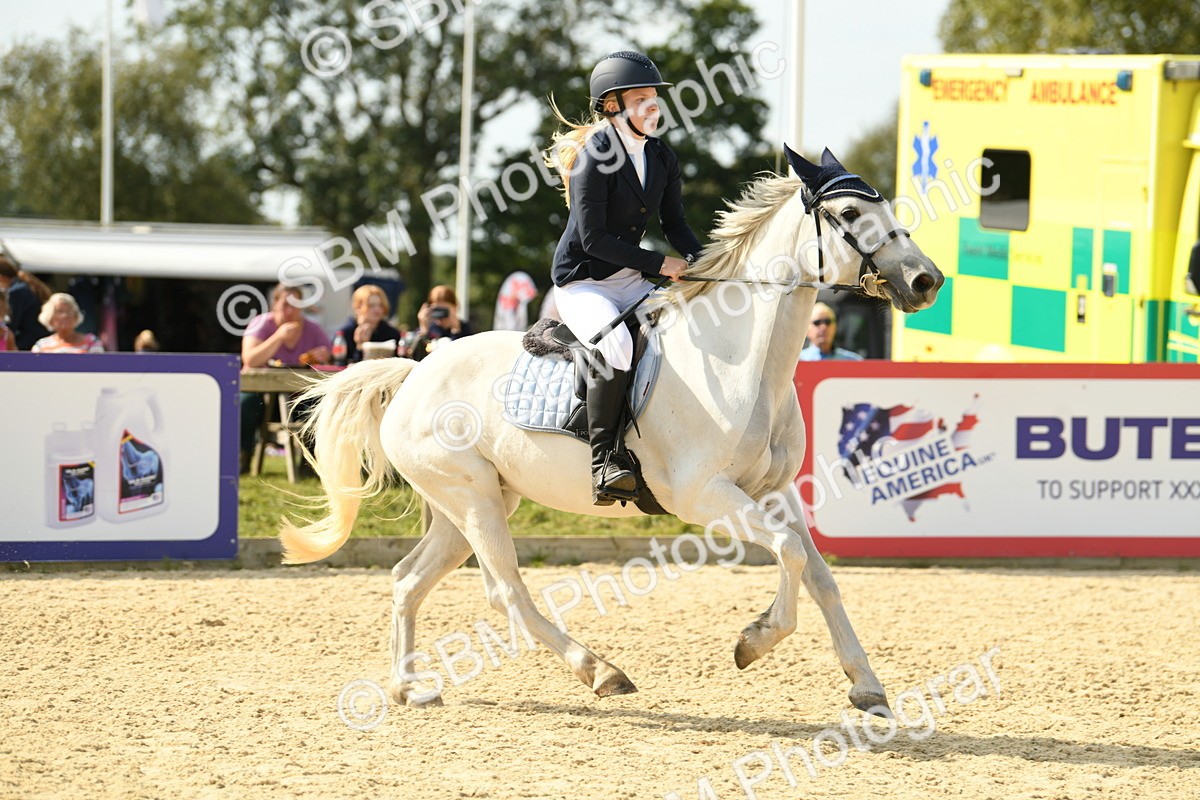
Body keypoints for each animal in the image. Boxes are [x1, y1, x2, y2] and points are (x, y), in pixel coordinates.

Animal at [279, 147, 944, 714]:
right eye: (850, 214)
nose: (926, 280)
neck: (743, 361)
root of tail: (416, 368)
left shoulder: (773, 492)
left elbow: (820, 574)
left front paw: (866, 687)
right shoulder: (704, 496)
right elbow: (788, 554)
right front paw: (753, 642)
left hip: (471, 501)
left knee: (407, 580)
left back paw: (407, 688)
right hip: (472, 500)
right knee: (506, 590)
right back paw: (600, 671)